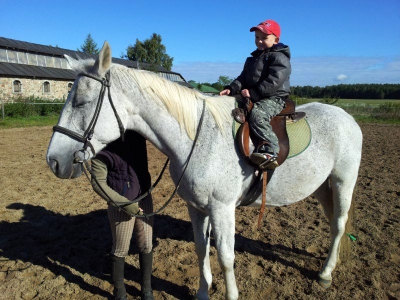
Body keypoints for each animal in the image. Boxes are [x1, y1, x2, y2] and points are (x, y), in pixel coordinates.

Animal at [46, 42, 362, 300]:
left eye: (82, 102)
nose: (54, 161)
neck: (195, 139)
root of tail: (346, 117)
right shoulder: (196, 208)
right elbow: (201, 249)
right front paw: (201, 293)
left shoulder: (222, 209)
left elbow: (225, 256)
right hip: (321, 186)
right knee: (332, 221)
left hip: (342, 181)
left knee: (339, 224)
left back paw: (325, 274)